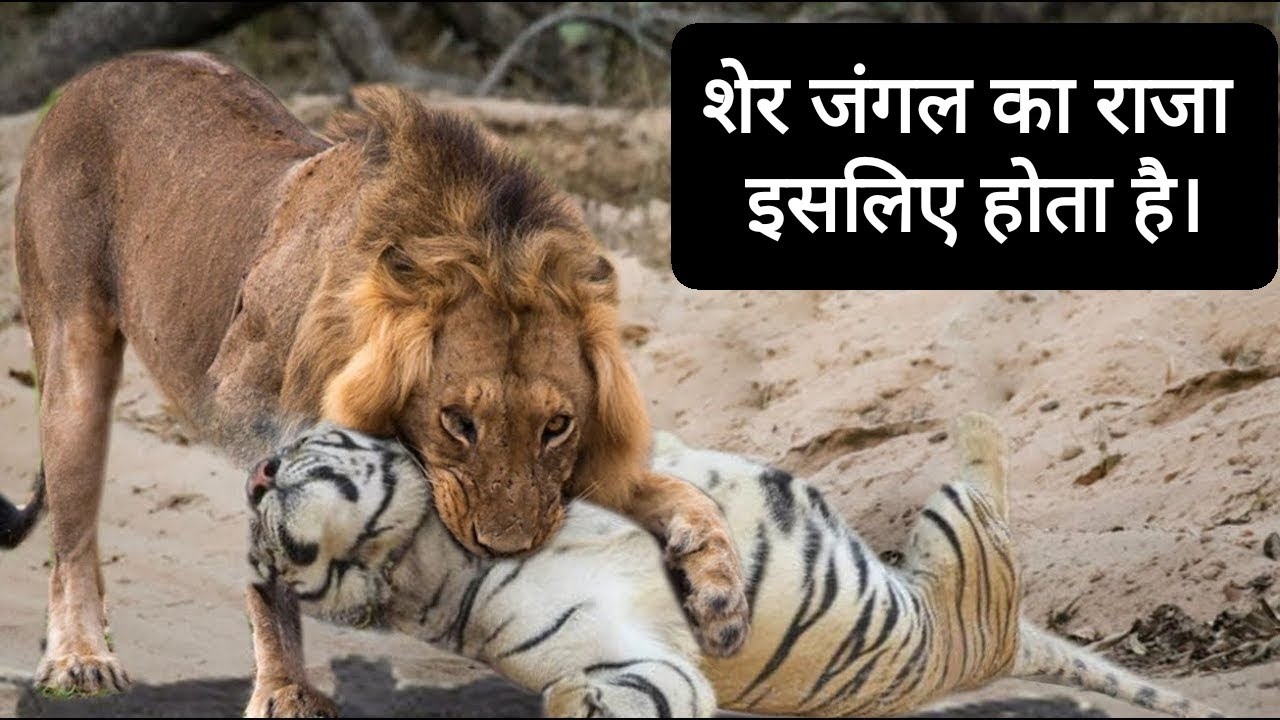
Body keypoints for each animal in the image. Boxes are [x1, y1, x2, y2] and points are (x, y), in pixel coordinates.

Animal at [0, 50, 747, 701]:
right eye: (458, 422)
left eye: (557, 426)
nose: (507, 548)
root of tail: (94, 75)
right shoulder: (247, 408)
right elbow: (274, 562)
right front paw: (287, 693)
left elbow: (683, 495)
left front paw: (721, 599)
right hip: (73, 360)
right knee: (71, 535)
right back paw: (80, 658)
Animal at [243, 413, 1222, 718]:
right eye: (266, 553)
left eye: (298, 445)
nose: (256, 474)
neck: (416, 545)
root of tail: (1001, 647)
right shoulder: (636, 656)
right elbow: (622, 687)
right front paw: (577, 704)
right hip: (956, 523)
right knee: (988, 469)